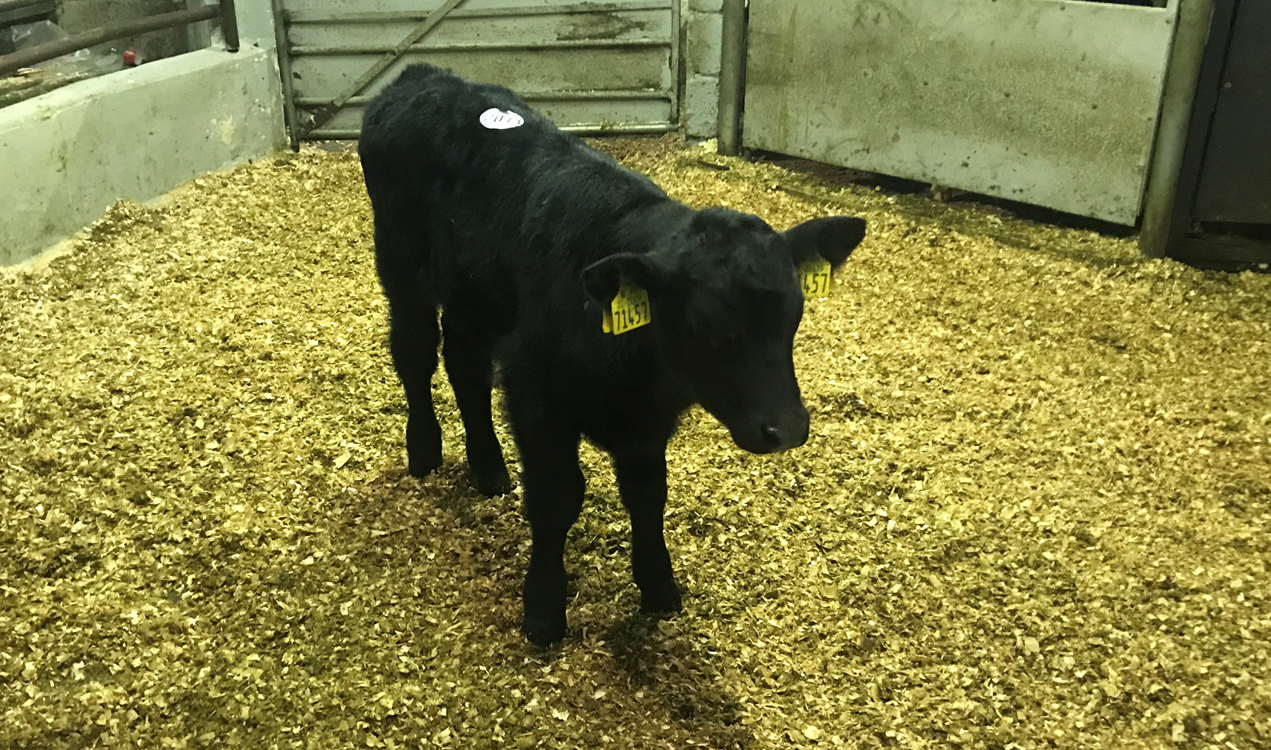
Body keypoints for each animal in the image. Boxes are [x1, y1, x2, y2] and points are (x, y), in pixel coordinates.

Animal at [358, 64, 866, 646]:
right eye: (700, 324)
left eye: (795, 314)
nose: (787, 429)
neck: (638, 376)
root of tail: (423, 75)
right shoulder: (536, 393)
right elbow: (557, 497)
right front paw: (544, 610)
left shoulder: (645, 422)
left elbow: (648, 495)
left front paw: (659, 587)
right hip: (400, 264)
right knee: (415, 350)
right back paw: (423, 450)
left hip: (474, 297)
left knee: (465, 365)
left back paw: (488, 468)